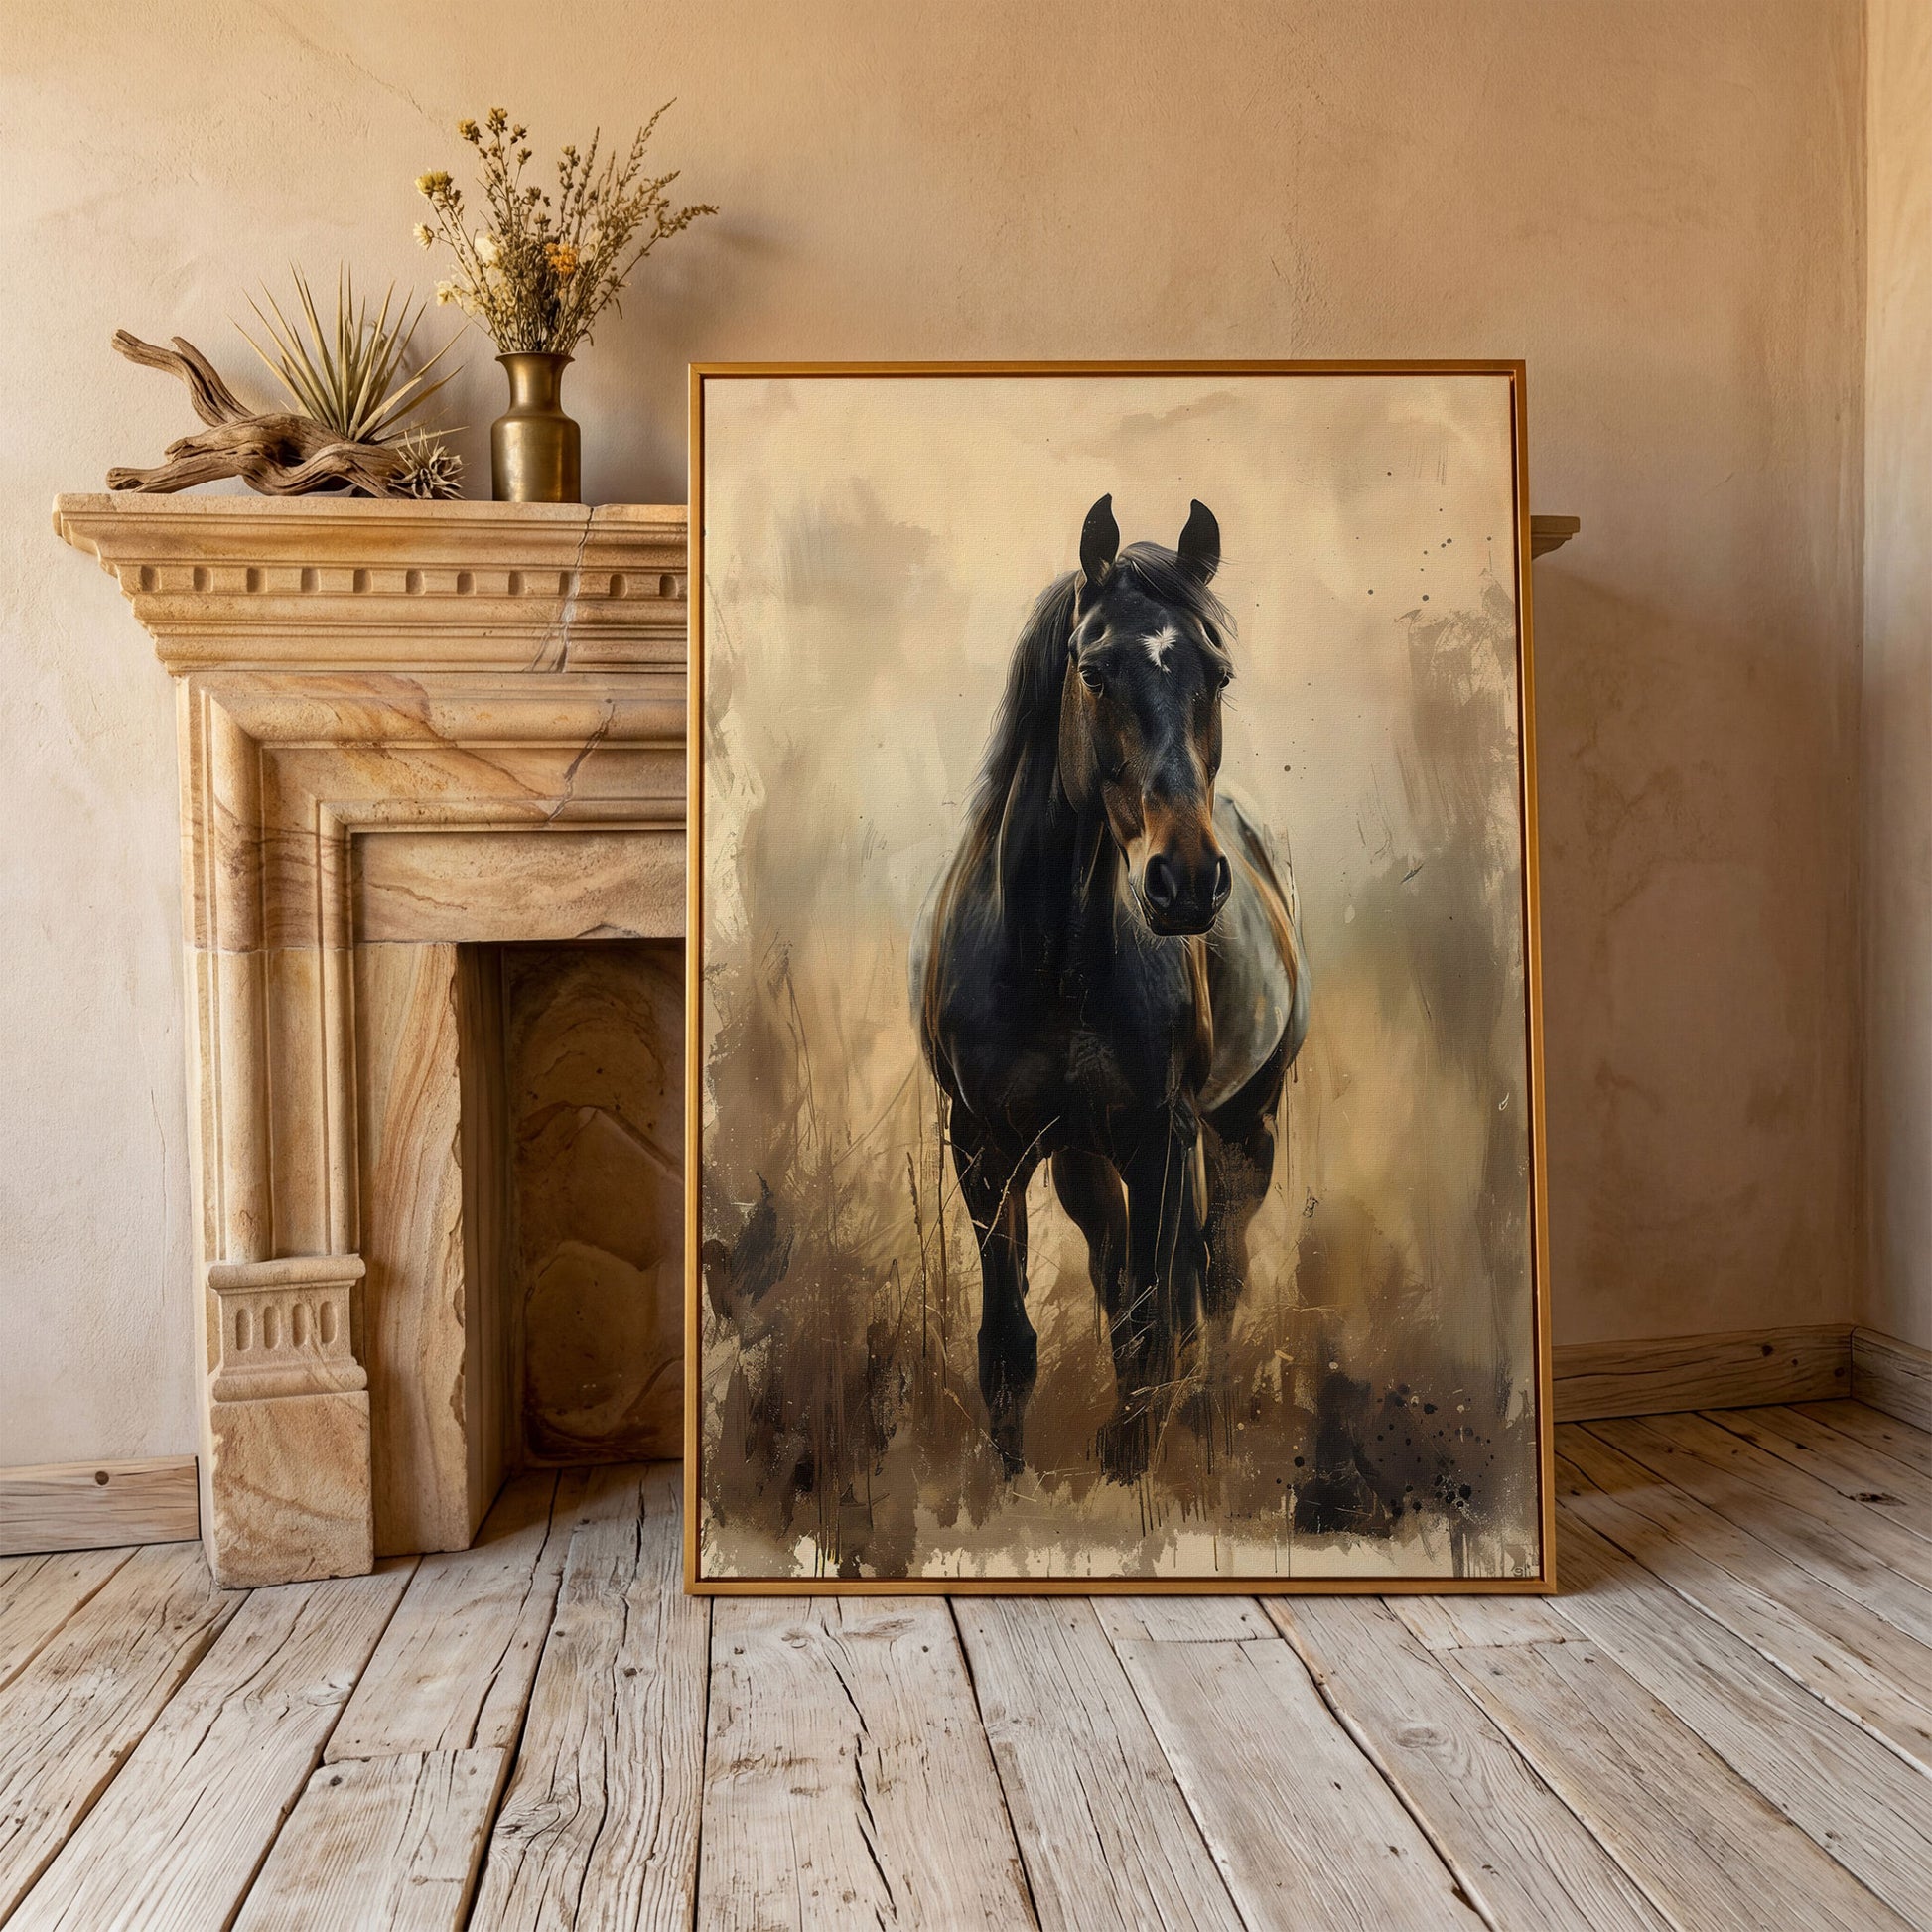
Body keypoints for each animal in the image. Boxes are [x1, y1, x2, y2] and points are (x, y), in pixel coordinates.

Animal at [914, 494, 1310, 1480]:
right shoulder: (984, 1147)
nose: (1188, 880)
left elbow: (1157, 1328)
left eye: (1218, 673)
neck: (1050, 957)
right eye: (1092, 672)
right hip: (1078, 1155)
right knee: (1122, 1271)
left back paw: (1204, 1421)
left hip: (1243, 1125)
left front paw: (1132, 1471)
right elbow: (1010, 1347)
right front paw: (1008, 1487)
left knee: (1215, 1277)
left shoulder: (1162, 1138)